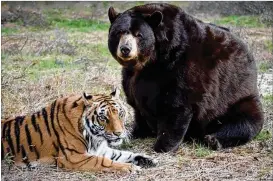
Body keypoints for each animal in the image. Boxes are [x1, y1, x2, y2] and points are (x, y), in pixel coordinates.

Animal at [1, 89, 156, 173]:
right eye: (103, 118)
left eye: (120, 114)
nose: (119, 133)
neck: (95, 138)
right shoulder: (73, 157)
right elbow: (104, 162)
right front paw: (131, 168)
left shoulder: (101, 150)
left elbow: (124, 154)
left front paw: (148, 159)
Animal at [107, 3, 262, 152]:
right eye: (119, 32)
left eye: (138, 35)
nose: (125, 49)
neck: (152, 60)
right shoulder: (132, 76)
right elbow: (138, 103)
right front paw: (133, 132)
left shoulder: (180, 66)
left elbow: (177, 104)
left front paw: (163, 145)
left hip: (236, 97)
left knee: (246, 121)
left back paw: (213, 139)